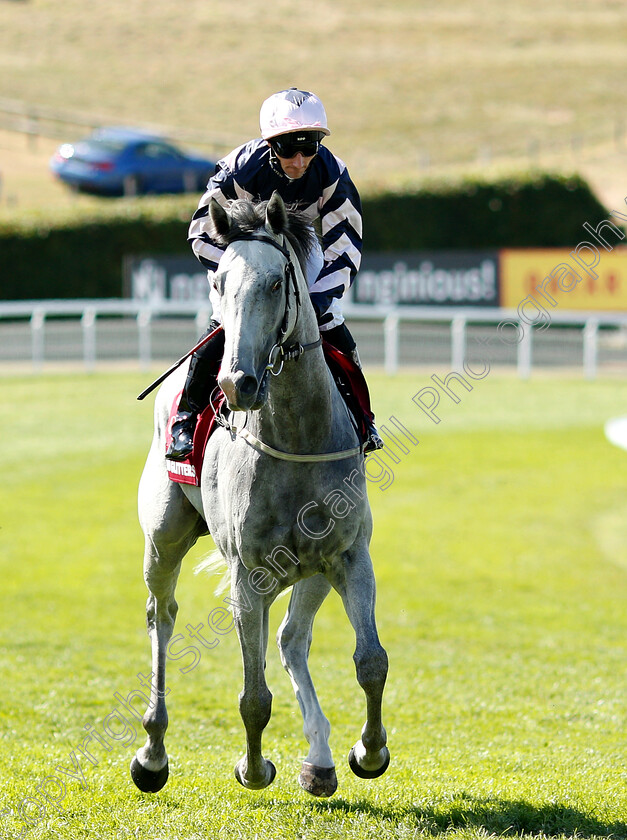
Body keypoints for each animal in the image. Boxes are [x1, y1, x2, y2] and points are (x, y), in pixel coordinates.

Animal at [131, 194, 388, 796]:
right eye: (219, 281)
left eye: (276, 282)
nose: (236, 383)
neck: (296, 433)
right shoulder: (249, 575)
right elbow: (253, 696)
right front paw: (252, 767)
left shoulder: (348, 555)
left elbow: (370, 662)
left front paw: (368, 751)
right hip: (163, 539)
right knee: (162, 614)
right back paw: (152, 751)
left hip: (313, 570)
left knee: (293, 639)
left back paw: (319, 759)